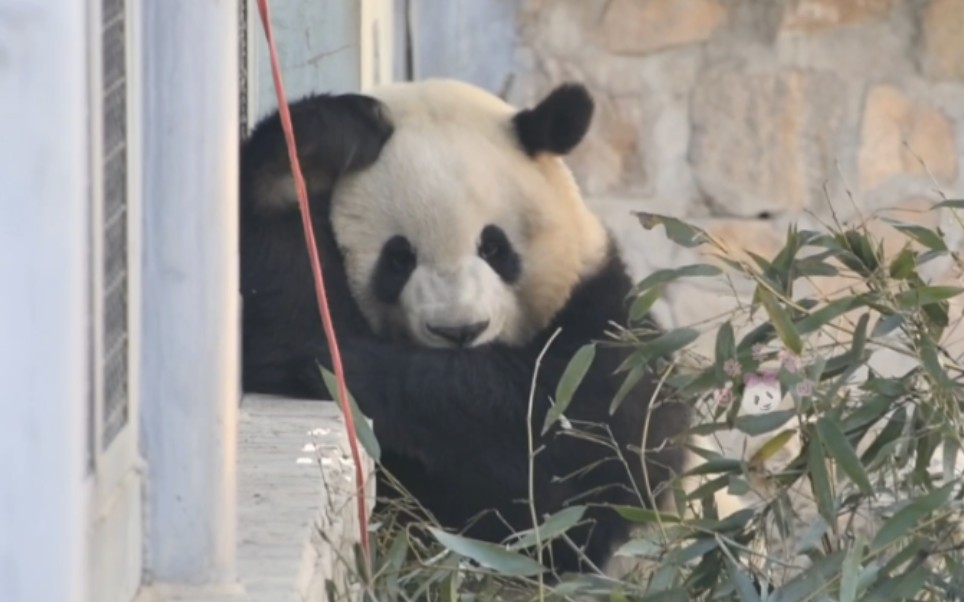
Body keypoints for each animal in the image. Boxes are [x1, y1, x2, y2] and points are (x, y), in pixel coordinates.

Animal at [241, 77, 744, 576]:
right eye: (398, 258)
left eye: (494, 246)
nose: (459, 330)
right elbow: (279, 310)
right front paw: (314, 151)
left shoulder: (605, 326)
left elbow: (574, 455)